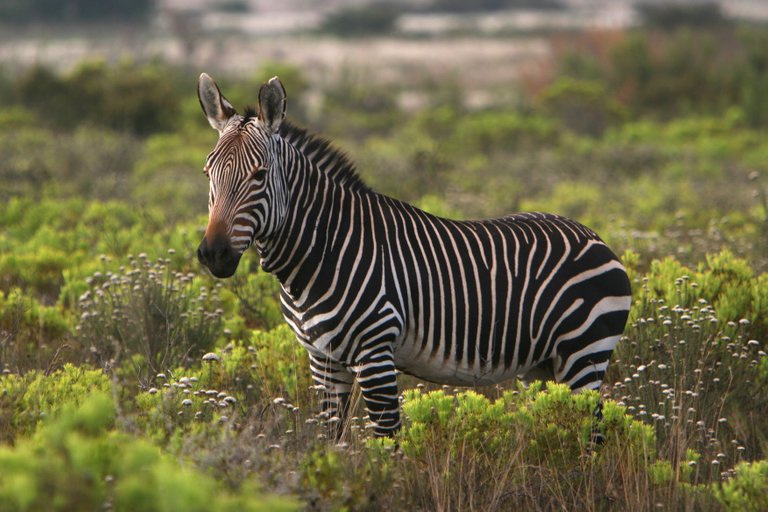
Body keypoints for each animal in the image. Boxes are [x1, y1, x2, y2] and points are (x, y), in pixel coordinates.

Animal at [195, 72, 632, 438]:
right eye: (207, 173)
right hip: (541, 364)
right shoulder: (322, 360)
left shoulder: (375, 353)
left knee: (592, 432)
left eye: (259, 175)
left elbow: (388, 445)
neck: (321, 253)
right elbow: (330, 440)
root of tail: (592, 235)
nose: (214, 254)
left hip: (583, 354)